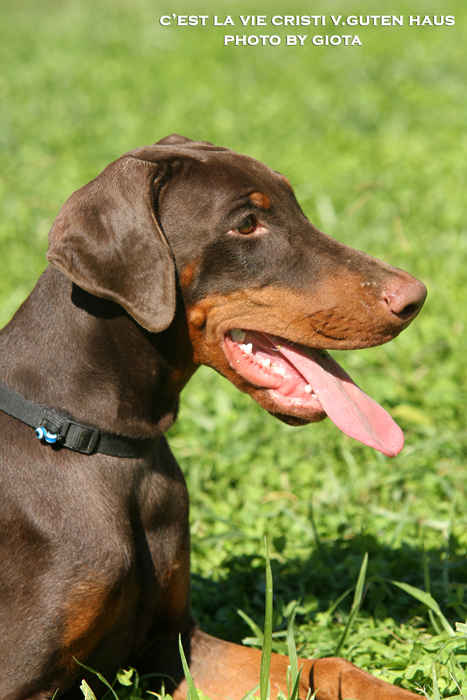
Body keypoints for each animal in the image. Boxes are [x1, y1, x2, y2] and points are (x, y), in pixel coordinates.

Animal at [0, 135, 426, 700]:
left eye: (298, 207)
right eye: (246, 224)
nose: (416, 298)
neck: (106, 441)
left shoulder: (175, 643)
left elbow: (324, 667)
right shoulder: (24, 678)